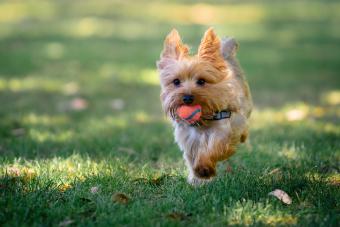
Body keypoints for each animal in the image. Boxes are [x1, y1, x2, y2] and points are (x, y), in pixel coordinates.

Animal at [157, 28, 252, 184]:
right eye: (176, 81)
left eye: (201, 81)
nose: (187, 98)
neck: (203, 121)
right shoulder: (188, 138)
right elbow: (191, 156)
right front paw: (196, 178)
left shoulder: (224, 129)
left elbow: (215, 147)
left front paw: (204, 168)